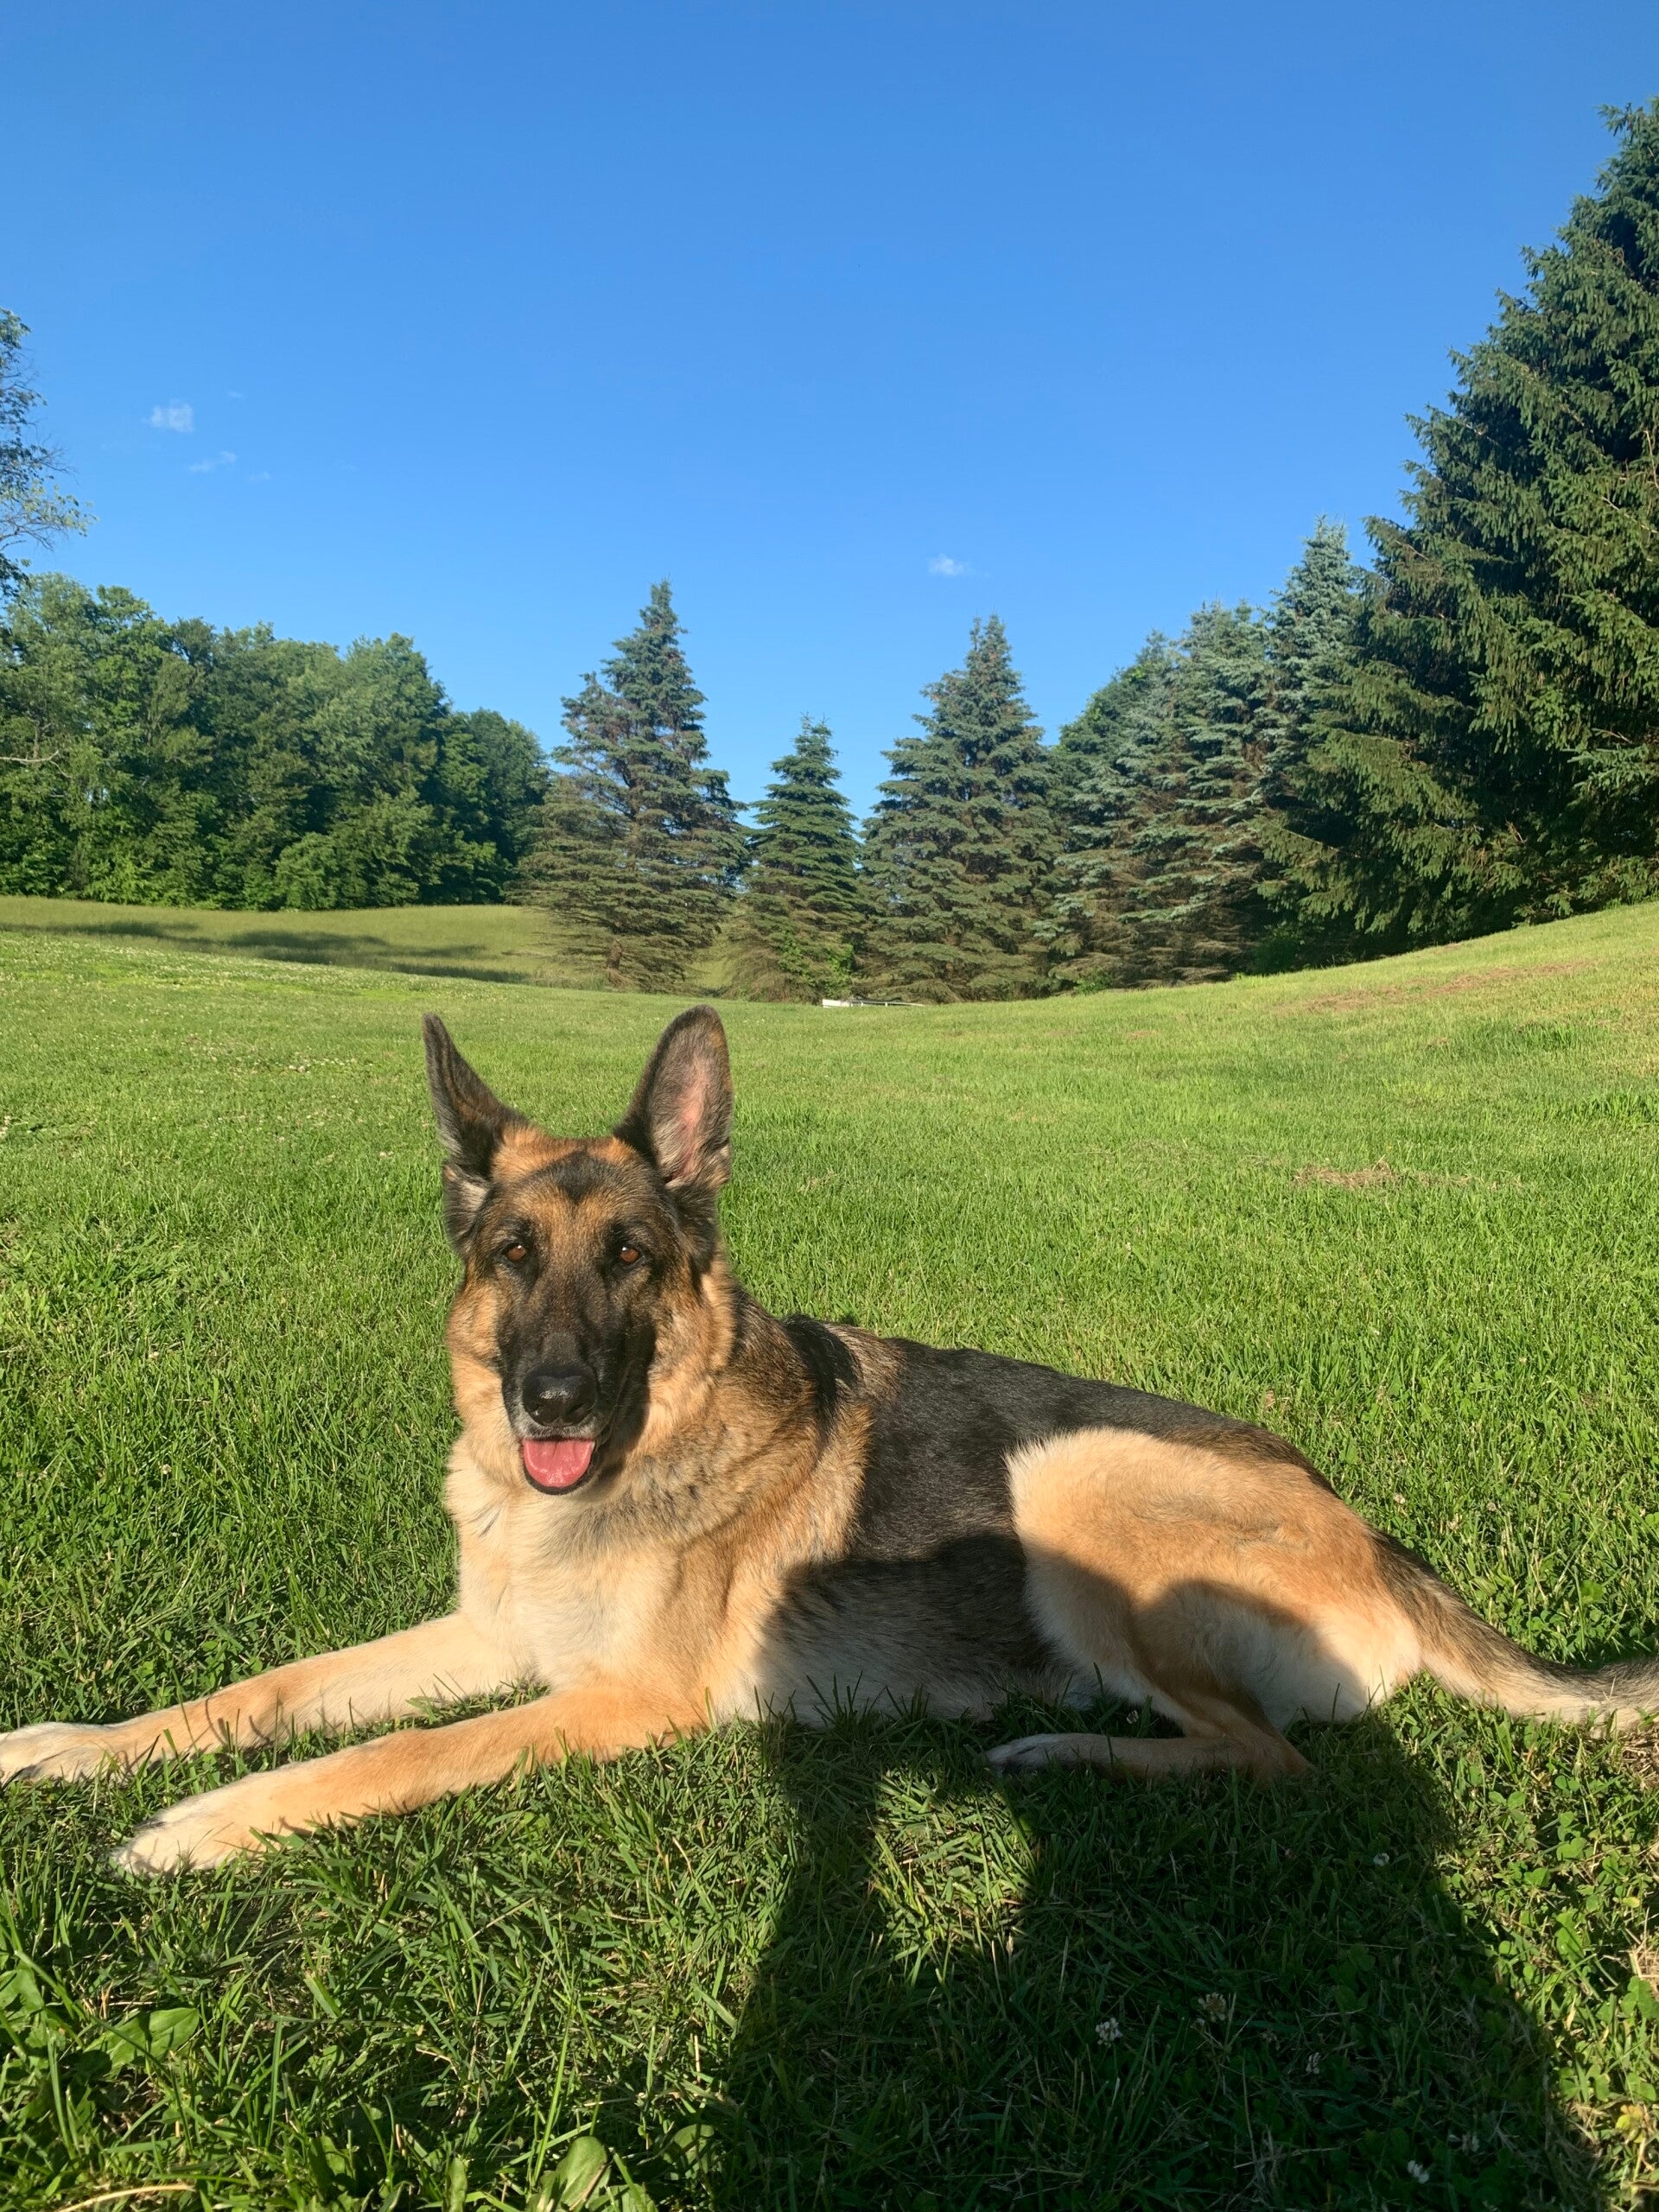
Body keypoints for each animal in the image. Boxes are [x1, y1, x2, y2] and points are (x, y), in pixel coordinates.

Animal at [3, 1005, 1654, 1874]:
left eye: (630, 1260)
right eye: (514, 1258)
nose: (552, 1405)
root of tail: (1373, 1539)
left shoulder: (614, 1700)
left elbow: (400, 1752)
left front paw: (205, 1829)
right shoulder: (497, 1639)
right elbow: (272, 1690)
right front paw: (84, 1751)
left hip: (1073, 1470)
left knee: (1273, 1765)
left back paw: (1057, 1747)